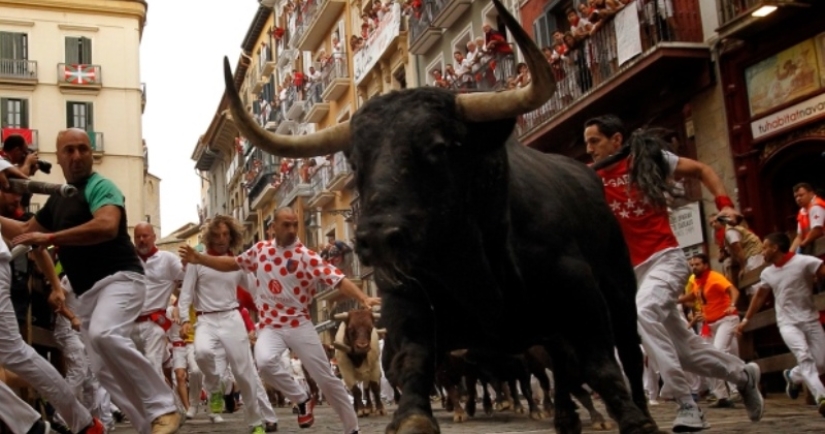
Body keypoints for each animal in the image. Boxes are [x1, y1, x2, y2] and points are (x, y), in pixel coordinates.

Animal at [224, 1, 664, 432]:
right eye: (355, 159)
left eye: (437, 147)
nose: (377, 239)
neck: (468, 261)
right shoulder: (406, 307)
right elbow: (414, 365)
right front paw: (413, 416)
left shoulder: (582, 295)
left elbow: (602, 366)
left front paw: (634, 420)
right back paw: (563, 418)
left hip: (619, 290)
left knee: (622, 354)